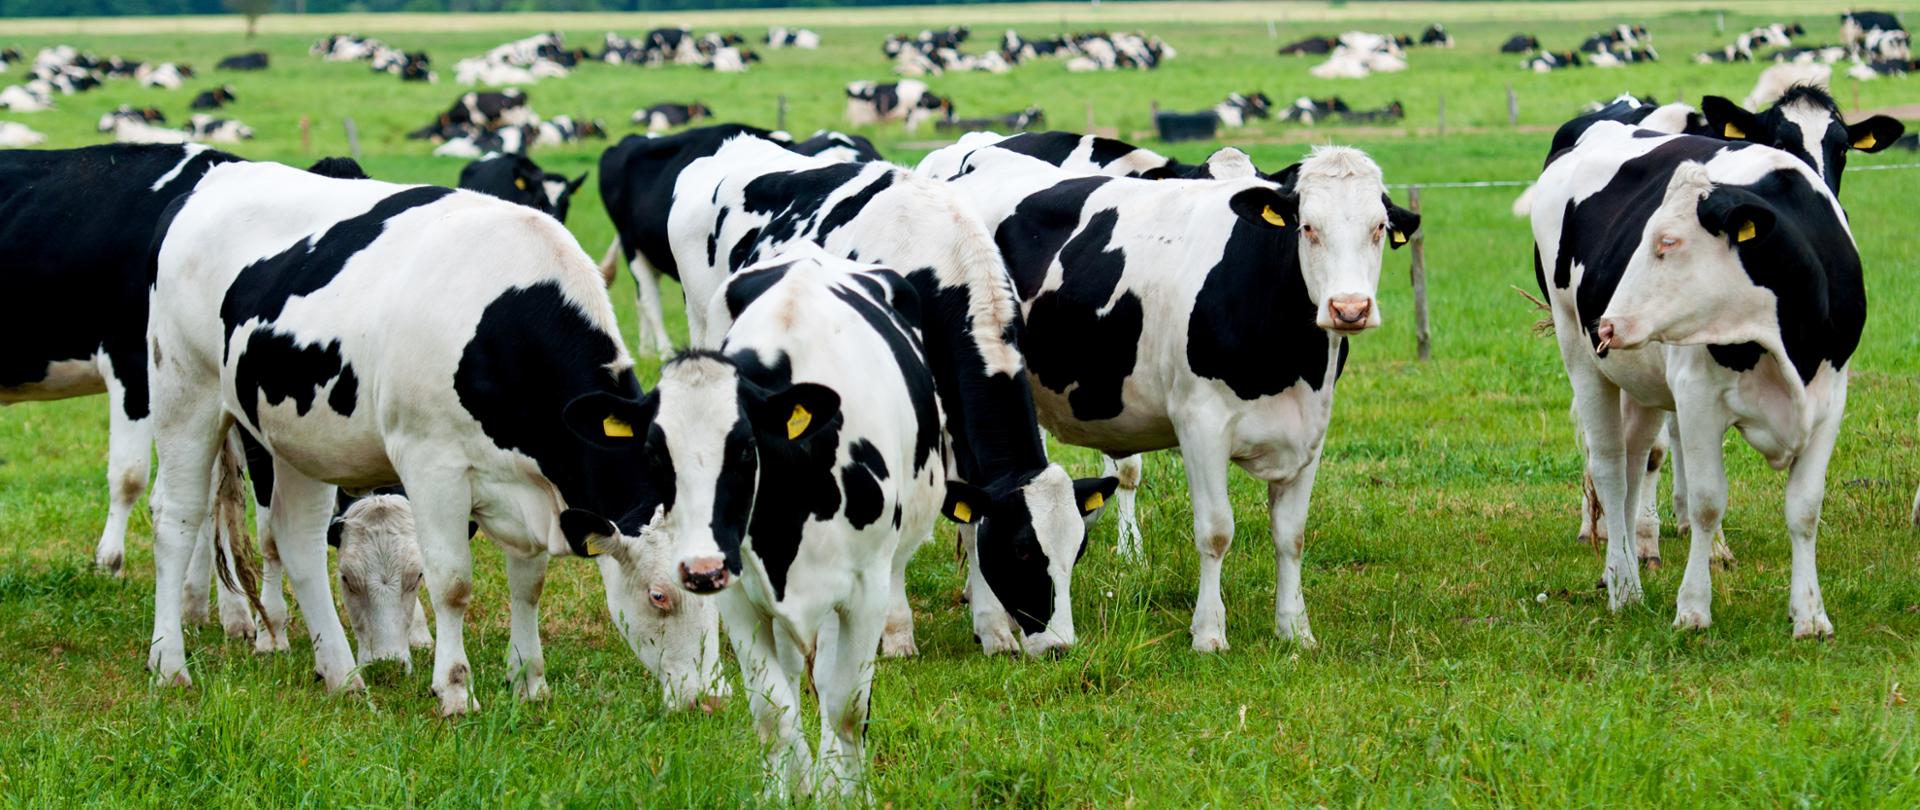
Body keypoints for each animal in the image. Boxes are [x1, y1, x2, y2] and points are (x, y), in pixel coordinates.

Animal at [145, 161, 727, 713]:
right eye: (658, 596)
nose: (711, 699)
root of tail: (214, 179)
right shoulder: (432, 466)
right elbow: (452, 584)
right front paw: (454, 690)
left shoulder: (527, 487)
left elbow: (529, 583)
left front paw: (530, 682)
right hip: (185, 392)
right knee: (177, 520)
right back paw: (170, 663)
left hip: (298, 437)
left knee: (299, 541)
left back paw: (343, 677)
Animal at [597, 126, 1116, 655]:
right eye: (1023, 551)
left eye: (1077, 550)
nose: (1058, 647)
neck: (941, 268)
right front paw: (896, 634)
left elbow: (971, 522)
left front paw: (992, 631)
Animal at [635, 247, 944, 797]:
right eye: (654, 454)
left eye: (744, 448)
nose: (700, 570)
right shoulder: (739, 595)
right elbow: (772, 710)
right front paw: (785, 791)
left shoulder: (866, 591)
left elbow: (847, 708)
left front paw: (847, 795)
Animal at [923, 141, 1417, 651]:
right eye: (1308, 227)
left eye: (1378, 228)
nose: (1349, 308)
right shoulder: (1200, 423)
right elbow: (1216, 532)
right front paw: (1209, 634)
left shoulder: (1310, 428)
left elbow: (1291, 535)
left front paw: (1295, 630)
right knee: (972, 515)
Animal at [1529, 122, 1863, 637]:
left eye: (1668, 241)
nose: (1607, 324)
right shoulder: (1697, 398)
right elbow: (1707, 503)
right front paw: (1692, 609)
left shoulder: (1829, 401)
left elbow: (1805, 508)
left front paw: (1810, 615)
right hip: (1580, 355)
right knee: (1610, 469)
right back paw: (1625, 587)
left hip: (1643, 384)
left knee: (1635, 464)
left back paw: (1622, 569)